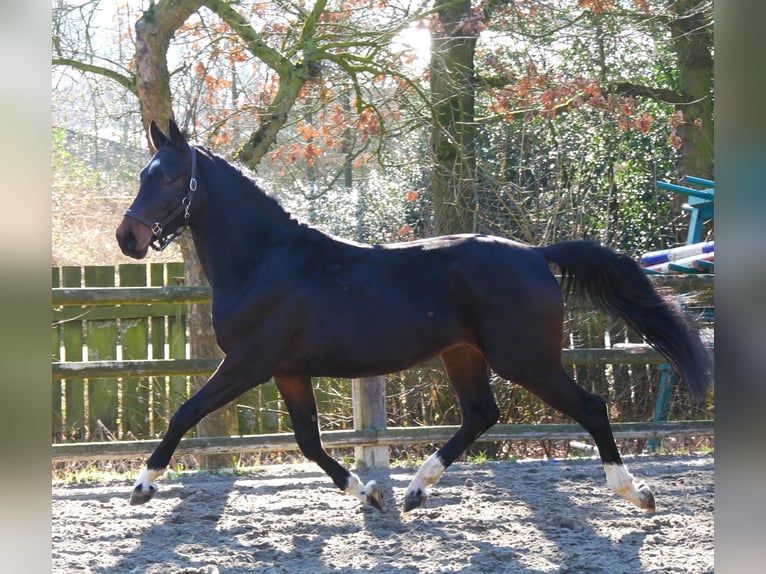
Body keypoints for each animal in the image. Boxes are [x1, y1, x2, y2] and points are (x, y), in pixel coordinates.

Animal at [115, 119, 712, 516]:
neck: (263, 259)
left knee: (590, 407)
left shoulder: (248, 363)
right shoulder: (287, 370)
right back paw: (415, 489)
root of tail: (536, 254)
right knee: (481, 414)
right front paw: (370, 493)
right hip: (465, 354)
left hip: (526, 360)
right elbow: (308, 441)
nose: (127, 238)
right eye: (146, 172)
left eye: (169, 177)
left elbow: (185, 413)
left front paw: (144, 486)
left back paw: (636, 492)